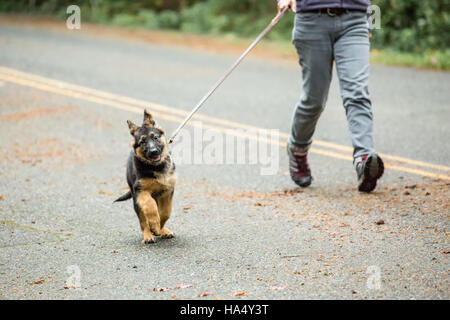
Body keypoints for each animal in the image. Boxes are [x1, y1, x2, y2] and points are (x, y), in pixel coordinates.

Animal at [114, 109, 176, 244]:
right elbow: (150, 207)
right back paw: (148, 235)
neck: (155, 167)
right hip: (136, 200)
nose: (153, 152)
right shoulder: (141, 191)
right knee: (142, 220)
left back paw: (163, 231)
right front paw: (154, 224)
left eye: (155, 137)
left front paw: (159, 228)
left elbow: (166, 212)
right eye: (142, 142)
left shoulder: (167, 191)